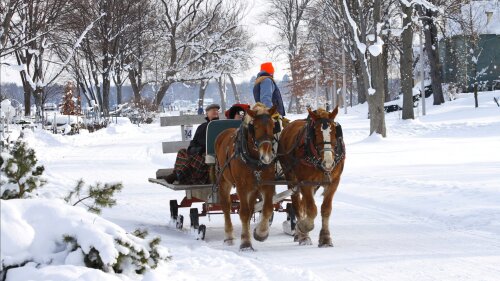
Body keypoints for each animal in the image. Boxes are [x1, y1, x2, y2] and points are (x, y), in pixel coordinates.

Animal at [214, 103, 278, 249]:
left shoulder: (267, 184)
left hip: (252, 188)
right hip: (224, 180)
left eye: (273, 125)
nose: (266, 157)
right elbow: (243, 213)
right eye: (255, 126)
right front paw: (246, 243)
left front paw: (260, 233)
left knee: (250, 209)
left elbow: (267, 209)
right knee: (226, 206)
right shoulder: (241, 186)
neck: (254, 160)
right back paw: (229, 236)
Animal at [278, 106, 344, 246]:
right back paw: (301, 234)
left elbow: (325, 209)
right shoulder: (305, 182)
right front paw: (303, 228)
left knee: (303, 204)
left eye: (335, 132)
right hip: (291, 177)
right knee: (297, 203)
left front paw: (325, 238)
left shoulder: (333, 182)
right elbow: (312, 209)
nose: (328, 162)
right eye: (316, 133)